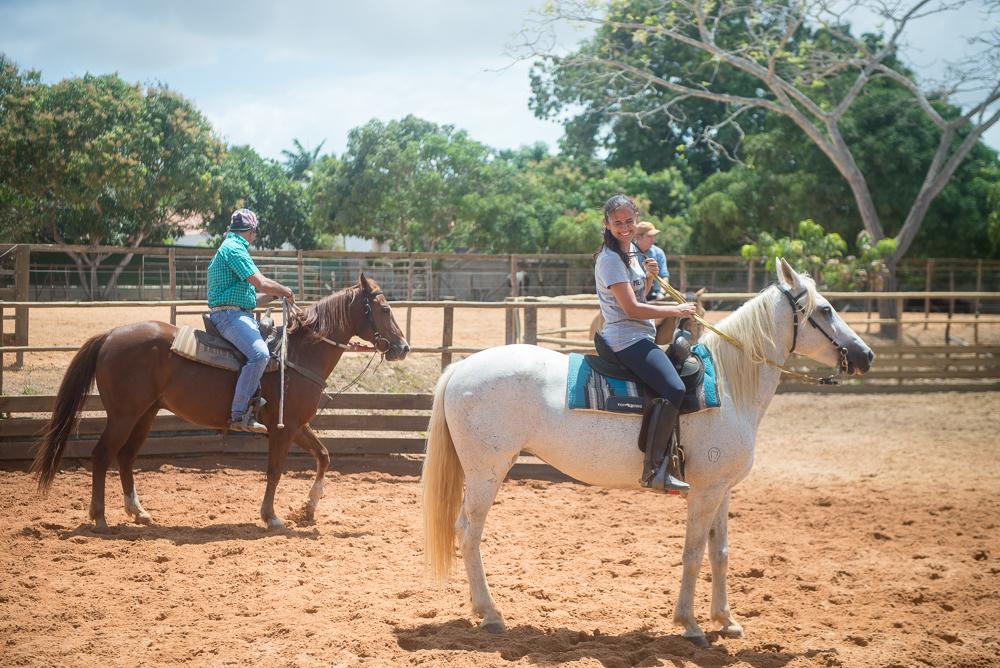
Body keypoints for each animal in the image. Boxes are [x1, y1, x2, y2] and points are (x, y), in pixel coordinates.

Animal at [32, 272, 406, 532]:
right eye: (385, 308)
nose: (403, 348)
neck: (300, 353)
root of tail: (110, 334)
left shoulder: (298, 426)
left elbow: (325, 456)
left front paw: (310, 507)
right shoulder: (283, 429)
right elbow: (274, 471)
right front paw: (271, 517)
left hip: (145, 414)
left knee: (125, 457)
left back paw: (138, 512)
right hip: (123, 415)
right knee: (101, 456)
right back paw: (99, 519)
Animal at [422, 258, 876, 644]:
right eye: (827, 310)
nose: (865, 355)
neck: (729, 386)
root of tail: (460, 368)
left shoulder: (723, 489)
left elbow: (720, 552)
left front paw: (726, 620)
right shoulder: (705, 492)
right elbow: (693, 554)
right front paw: (690, 624)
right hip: (487, 472)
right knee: (469, 532)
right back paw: (491, 614)